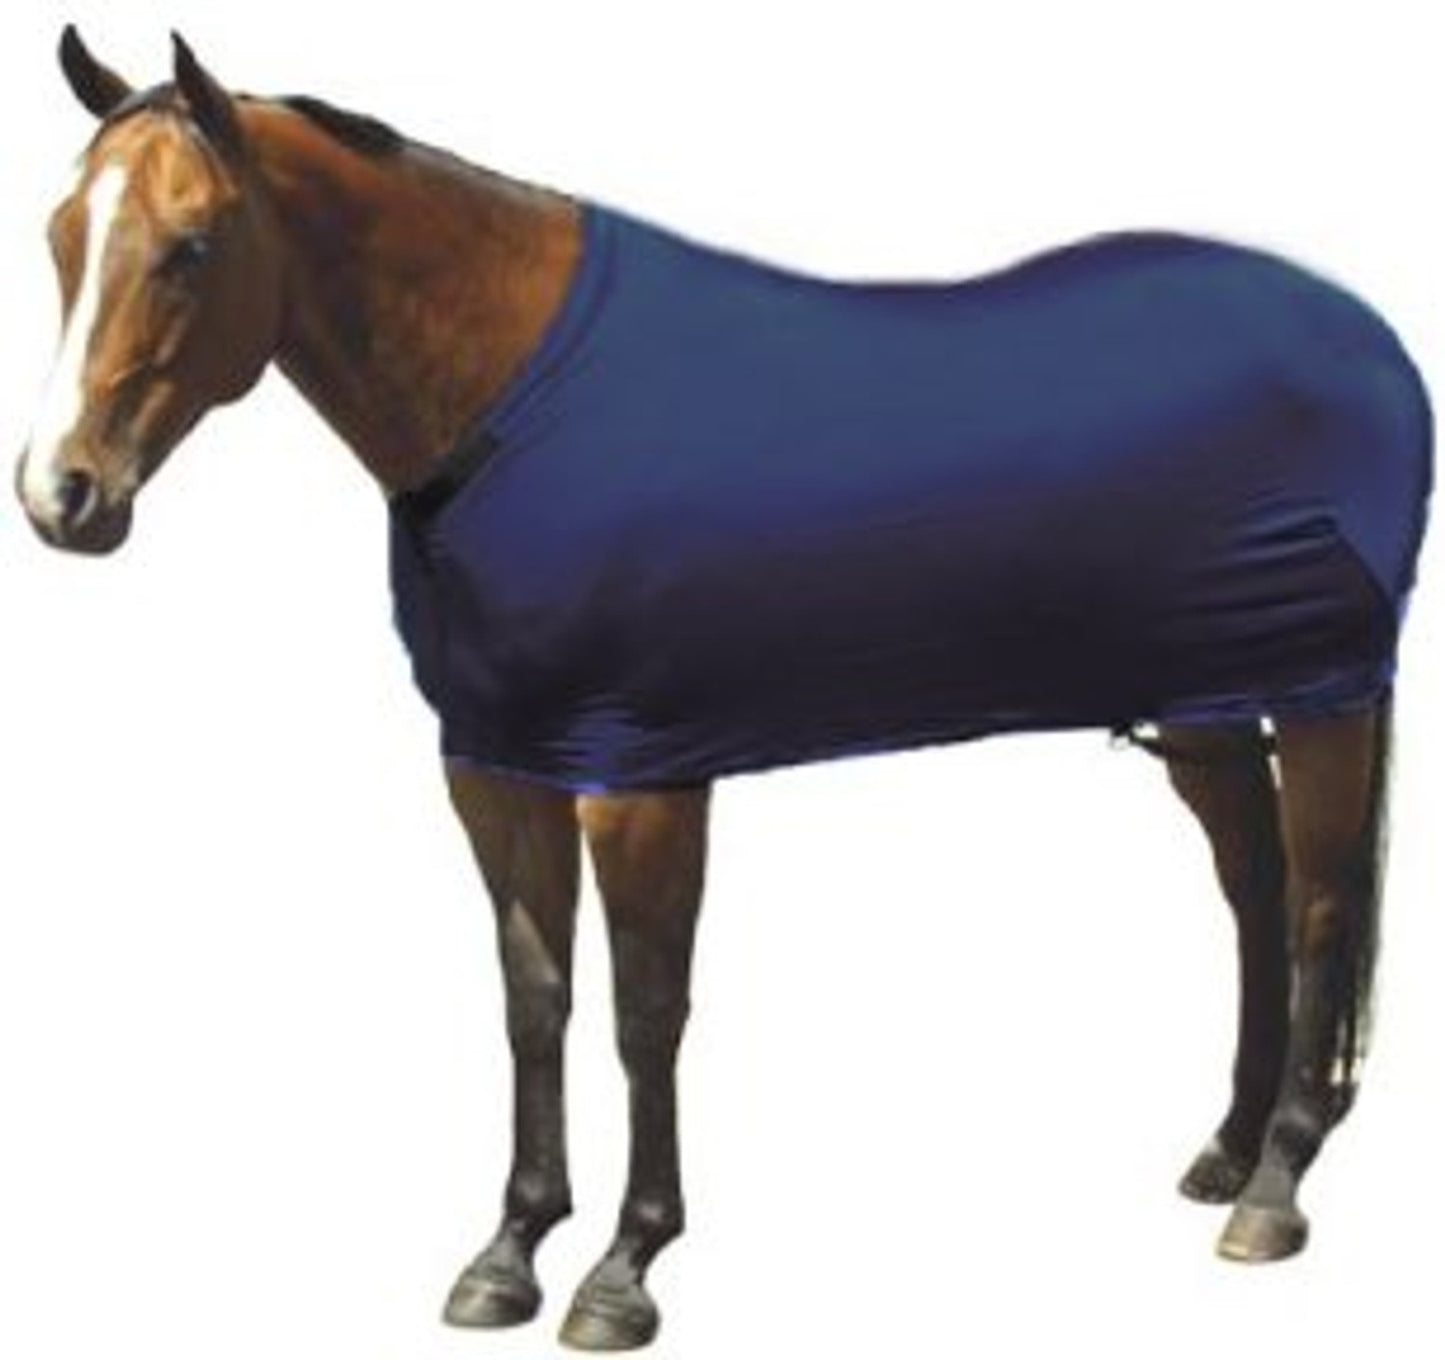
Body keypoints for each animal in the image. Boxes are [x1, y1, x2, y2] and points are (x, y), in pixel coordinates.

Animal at [15, 28, 1430, 1352]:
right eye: (61, 236)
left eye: (191, 245)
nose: (59, 493)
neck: (517, 398)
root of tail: (1365, 339)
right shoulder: (498, 768)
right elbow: (535, 999)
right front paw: (510, 1248)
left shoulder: (640, 776)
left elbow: (646, 1012)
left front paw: (623, 1267)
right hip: (1209, 709)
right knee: (1252, 896)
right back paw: (1227, 1149)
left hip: (1322, 699)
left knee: (1314, 908)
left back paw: (1275, 1185)